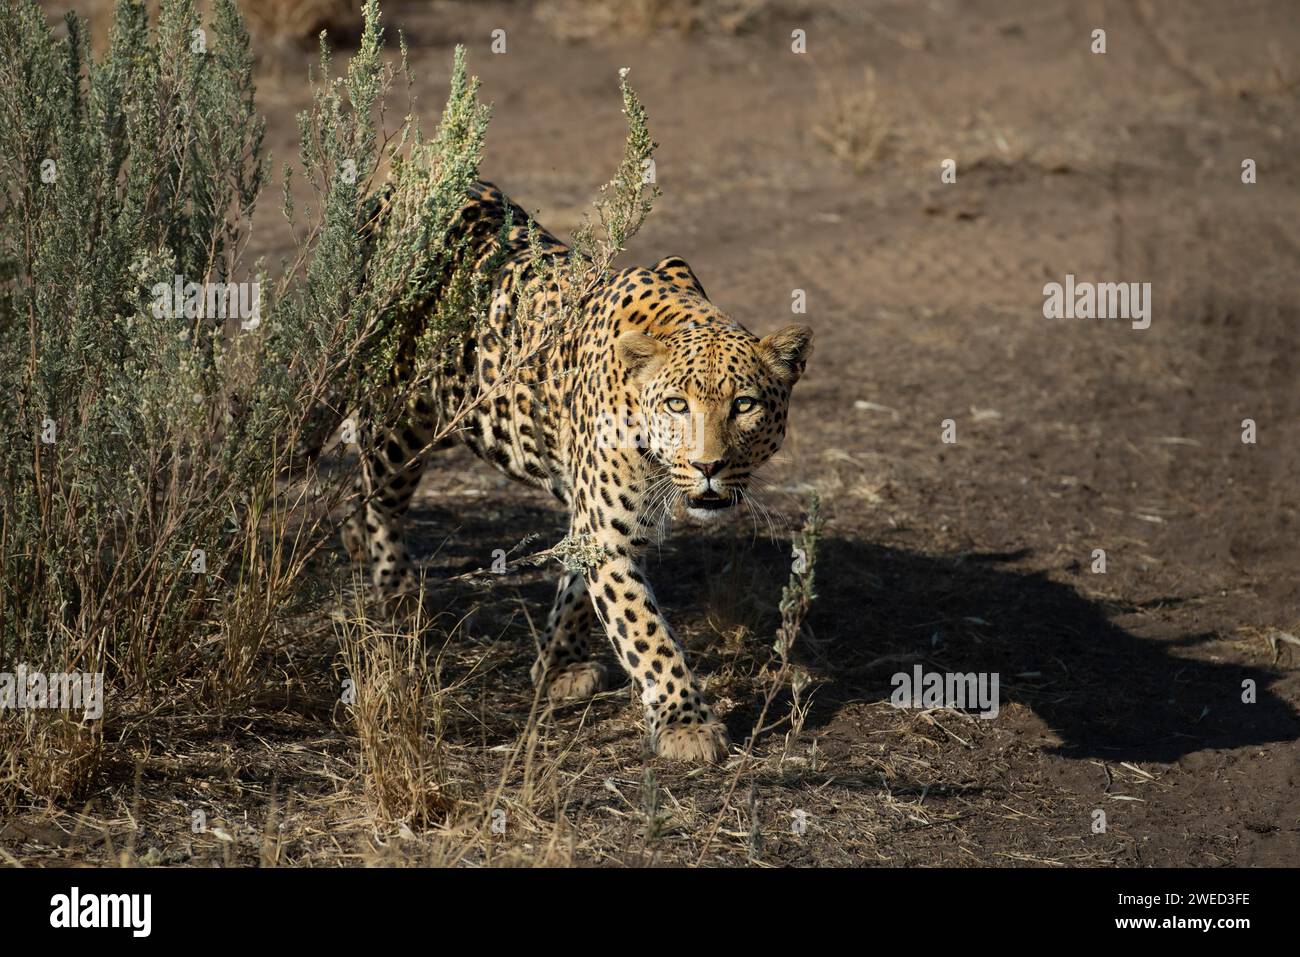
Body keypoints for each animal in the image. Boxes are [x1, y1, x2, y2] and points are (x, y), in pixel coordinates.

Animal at [341, 180, 813, 763]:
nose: (708, 466)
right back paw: (396, 590)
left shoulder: (598, 523)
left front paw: (557, 664)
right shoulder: (608, 533)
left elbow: (576, 593)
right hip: (402, 418)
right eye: (678, 405)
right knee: (378, 494)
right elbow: (647, 634)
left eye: (744, 405)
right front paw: (687, 724)